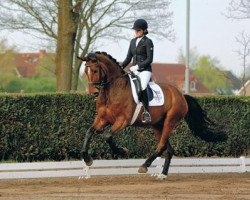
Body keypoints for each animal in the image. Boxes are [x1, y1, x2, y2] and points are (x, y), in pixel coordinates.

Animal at [78, 51, 227, 178]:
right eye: (85, 71)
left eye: (95, 70)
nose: (94, 93)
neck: (112, 91)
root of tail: (181, 95)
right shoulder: (102, 119)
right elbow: (89, 132)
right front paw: (87, 159)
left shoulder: (123, 121)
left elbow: (107, 136)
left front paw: (122, 151)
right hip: (156, 125)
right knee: (168, 149)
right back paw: (163, 174)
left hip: (170, 122)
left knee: (161, 146)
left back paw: (145, 166)